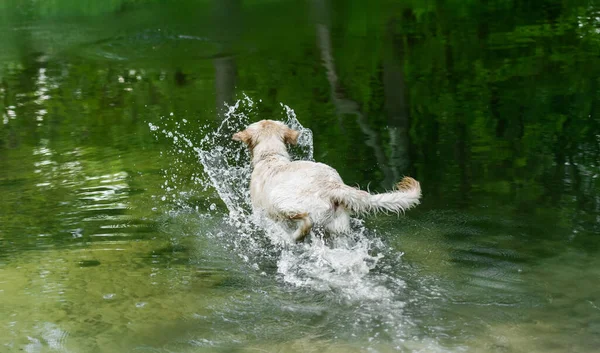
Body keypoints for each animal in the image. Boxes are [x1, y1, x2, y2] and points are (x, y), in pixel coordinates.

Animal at [232, 119, 420, 241]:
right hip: (338, 229)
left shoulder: (260, 214)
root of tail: (332, 186)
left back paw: (293, 238)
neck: (271, 156)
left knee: (305, 222)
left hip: (282, 203)